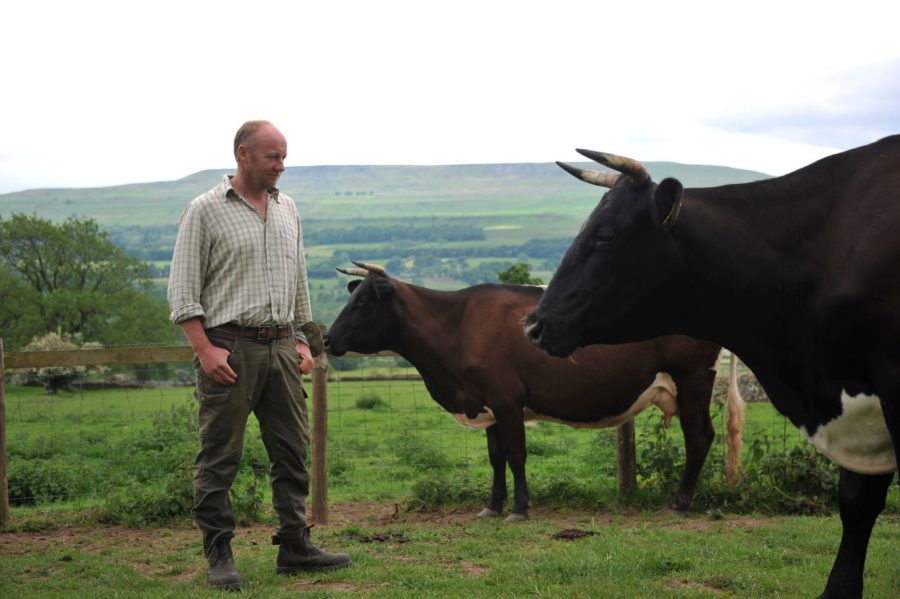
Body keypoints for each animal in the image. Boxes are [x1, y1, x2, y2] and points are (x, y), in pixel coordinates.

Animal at [324, 260, 744, 524]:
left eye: (364, 301)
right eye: (351, 297)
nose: (327, 339)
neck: (455, 326)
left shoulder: (507, 399)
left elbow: (516, 455)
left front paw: (519, 509)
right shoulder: (488, 403)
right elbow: (495, 458)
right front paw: (492, 507)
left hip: (693, 380)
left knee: (699, 437)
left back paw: (679, 503)